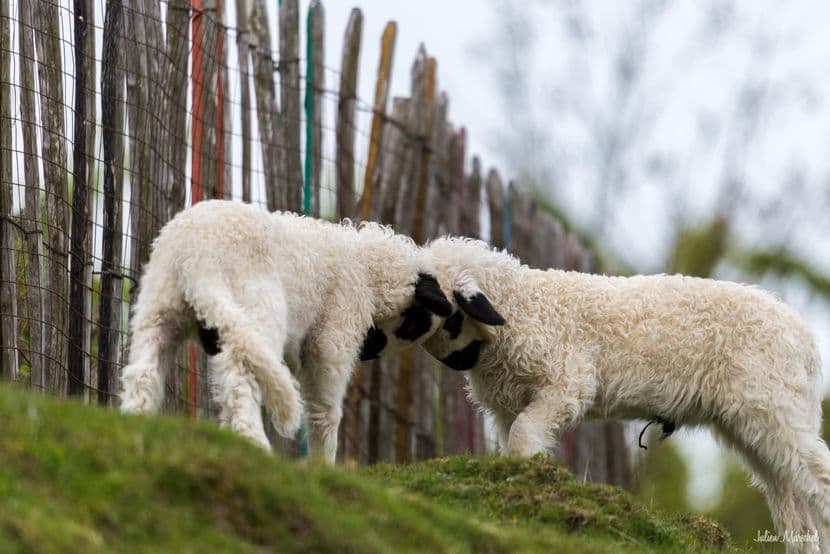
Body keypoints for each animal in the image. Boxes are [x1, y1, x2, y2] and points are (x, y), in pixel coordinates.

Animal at [120, 200, 451, 462]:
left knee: (144, 372)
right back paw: (253, 442)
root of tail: (194, 257)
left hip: (163, 311)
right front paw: (322, 465)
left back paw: (136, 419)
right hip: (257, 312)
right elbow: (325, 410)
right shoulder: (330, 342)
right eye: (415, 323)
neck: (364, 268)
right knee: (242, 380)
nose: (368, 351)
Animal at [419, 236, 830, 553]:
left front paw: (526, 478)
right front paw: (521, 475)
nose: (453, 363)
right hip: (762, 422)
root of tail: (806, 342)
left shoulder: (568, 382)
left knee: (816, 477)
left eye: (443, 309)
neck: (525, 306)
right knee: (794, 504)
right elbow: (513, 439)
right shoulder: (508, 404)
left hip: (773, 403)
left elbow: (523, 433)